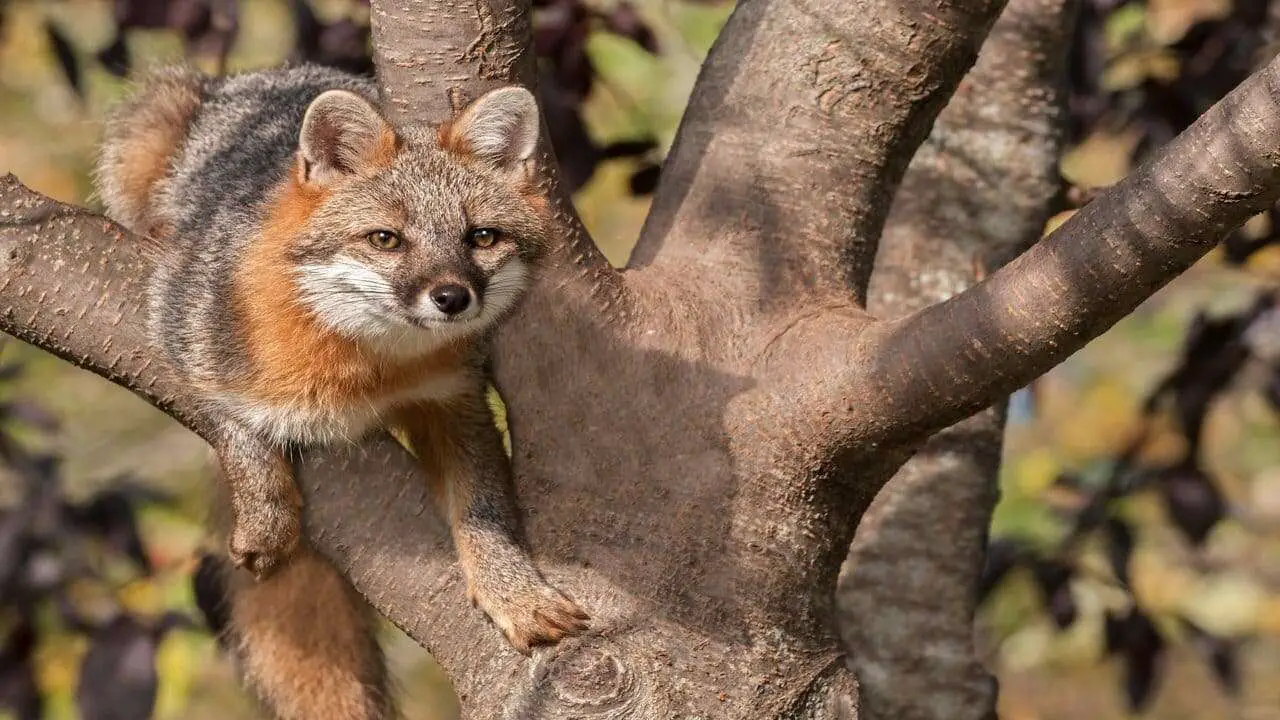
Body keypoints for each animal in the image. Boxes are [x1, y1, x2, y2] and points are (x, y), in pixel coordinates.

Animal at [94, 64, 588, 718]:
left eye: (482, 237)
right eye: (386, 239)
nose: (452, 298)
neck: (365, 367)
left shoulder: (454, 398)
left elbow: (484, 511)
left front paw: (514, 594)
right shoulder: (171, 328)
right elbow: (234, 423)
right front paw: (268, 520)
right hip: (143, 125)